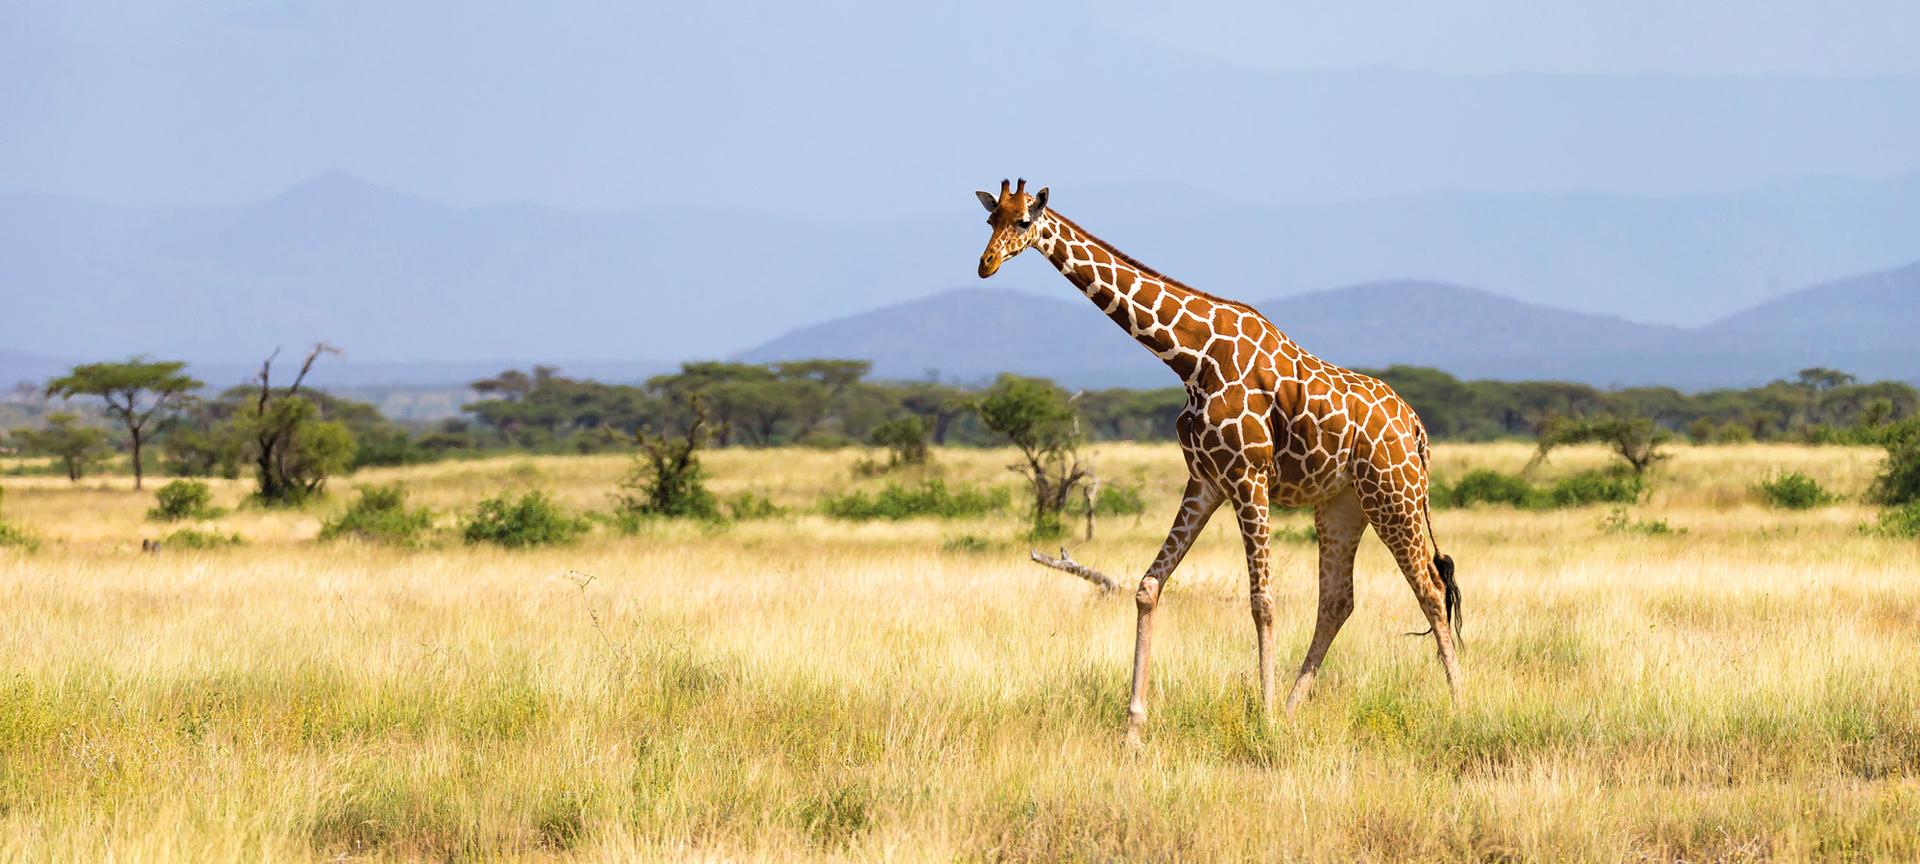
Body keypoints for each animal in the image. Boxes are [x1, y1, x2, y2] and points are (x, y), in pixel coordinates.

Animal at [974, 179, 1462, 742]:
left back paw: (1460, 704)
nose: (986, 263)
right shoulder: (1205, 481)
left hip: (1394, 494)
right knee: (1338, 600)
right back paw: (1295, 708)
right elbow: (1148, 587)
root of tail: (1417, 428)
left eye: (1023, 222)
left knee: (1431, 590)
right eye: (990, 220)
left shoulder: (1249, 477)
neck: (1191, 357)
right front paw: (1134, 727)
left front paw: (1264, 718)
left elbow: (1263, 601)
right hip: (1344, 505)